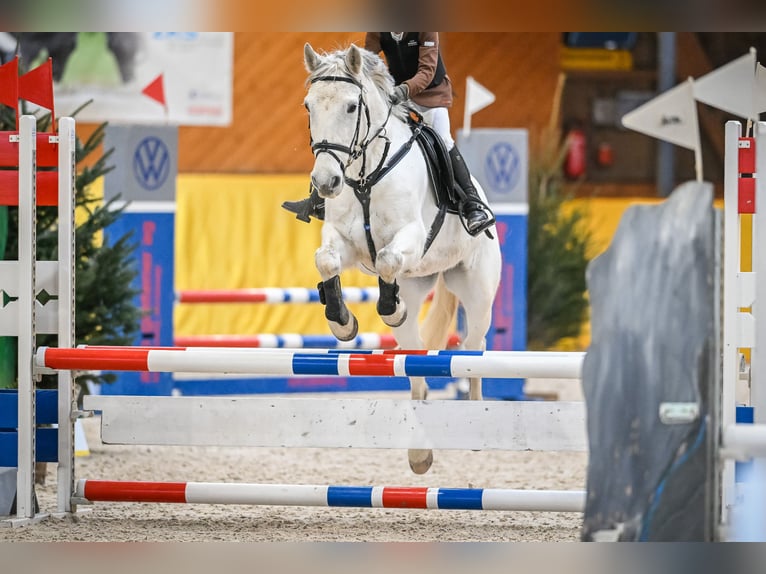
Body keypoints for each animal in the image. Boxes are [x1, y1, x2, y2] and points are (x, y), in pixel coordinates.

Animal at [304, 44, 508, 476]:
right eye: (309, 106)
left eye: (351, 107)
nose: (326, 183)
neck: (365, 174)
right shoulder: (343, 240)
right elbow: (327, 262)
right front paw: (343, 321)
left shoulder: (411, 236)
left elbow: (386, 259)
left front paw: (387, 307)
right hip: (418, 293)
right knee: (415, 362)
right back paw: (418, 454)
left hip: (477, 293)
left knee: (473, 347)